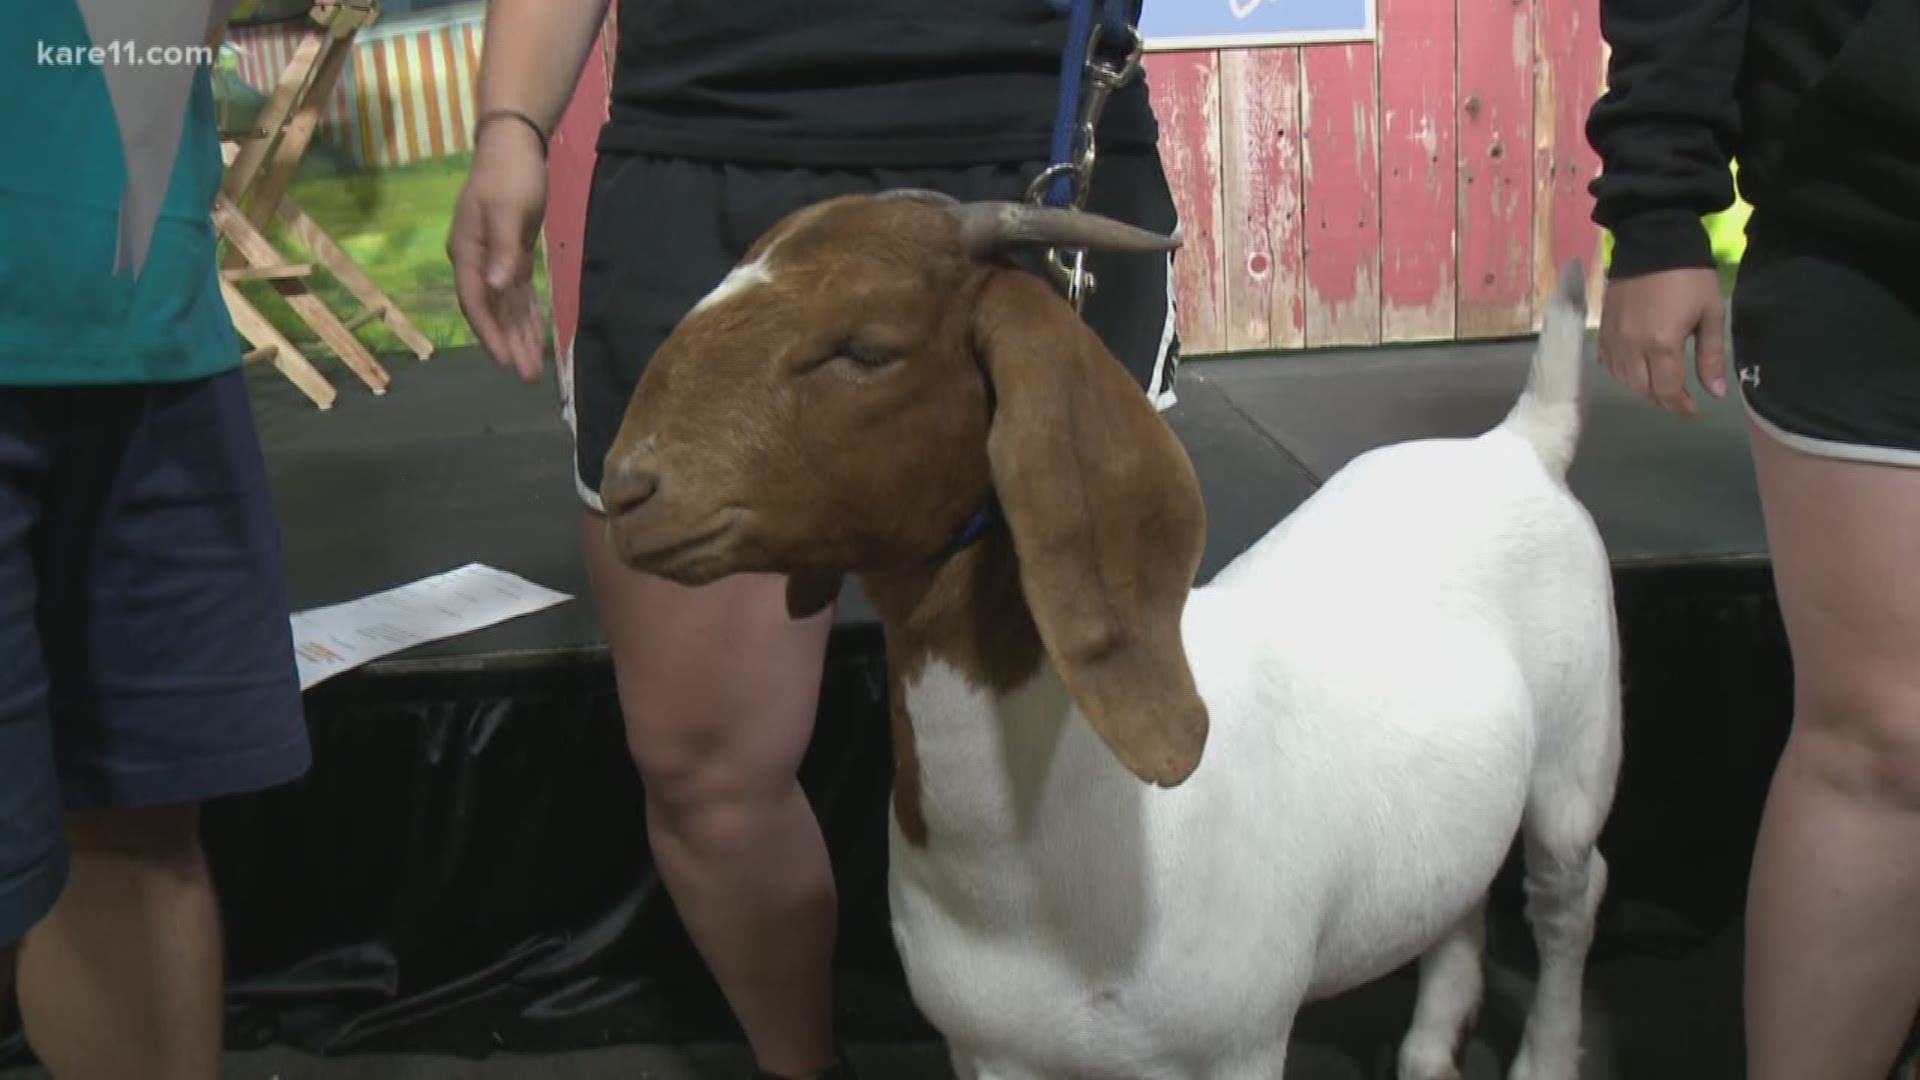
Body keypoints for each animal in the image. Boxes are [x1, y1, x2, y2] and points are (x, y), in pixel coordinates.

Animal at [599, 193, 1620, 1076]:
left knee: (1571, 893)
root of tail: (1517, 444)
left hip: (1575, 756)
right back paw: (1426, 1051)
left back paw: (1545, 1057)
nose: (625, 489)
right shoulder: (987, 1052)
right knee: (1462, 895)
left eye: (866, 347)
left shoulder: (1239, 1046)